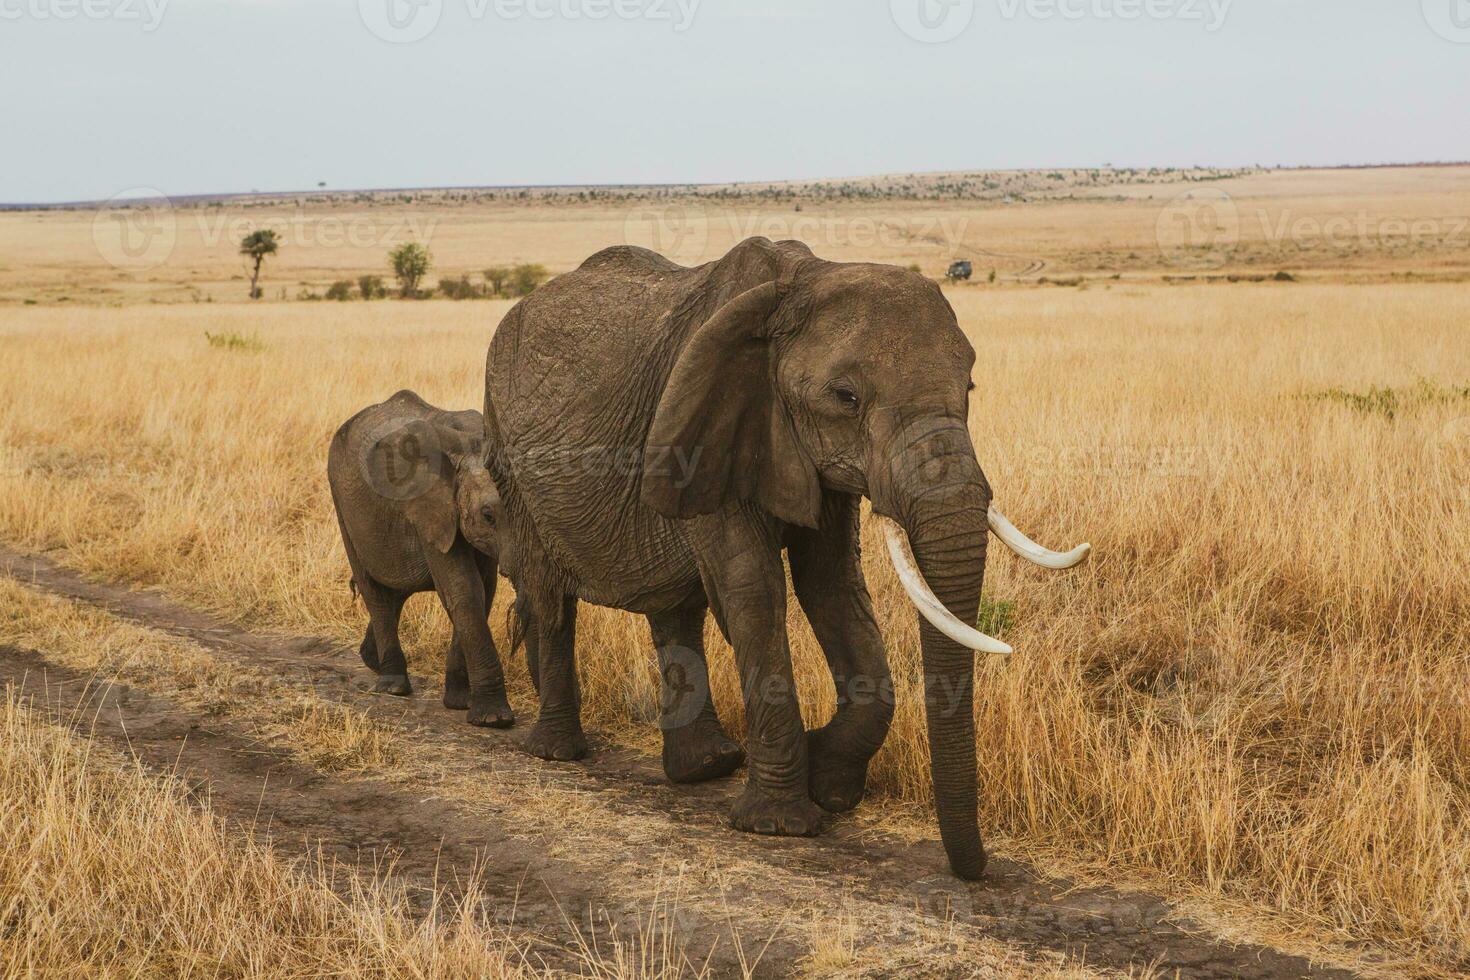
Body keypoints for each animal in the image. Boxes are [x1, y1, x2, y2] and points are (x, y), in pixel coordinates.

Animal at [329, 390, 517, 728]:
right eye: (488, 515)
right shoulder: (430, 507)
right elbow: (464, 590)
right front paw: (493, 719)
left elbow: (483, 590)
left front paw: (460, 703)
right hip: (341, 501)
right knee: (374, 591)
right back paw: (392, 685)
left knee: (395, 591)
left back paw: (371, 660)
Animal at [488, 238, 1087, 881]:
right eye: (846, 398)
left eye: (970, 388)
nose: (972, 871)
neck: (802, 280)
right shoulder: (709, 433)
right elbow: (754, 590)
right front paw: (780, 824)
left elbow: (835, 587)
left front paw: (830, 781)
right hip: (511, 465)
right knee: (550, 599)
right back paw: (558, 752)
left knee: (675, 611)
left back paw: (704, 768)